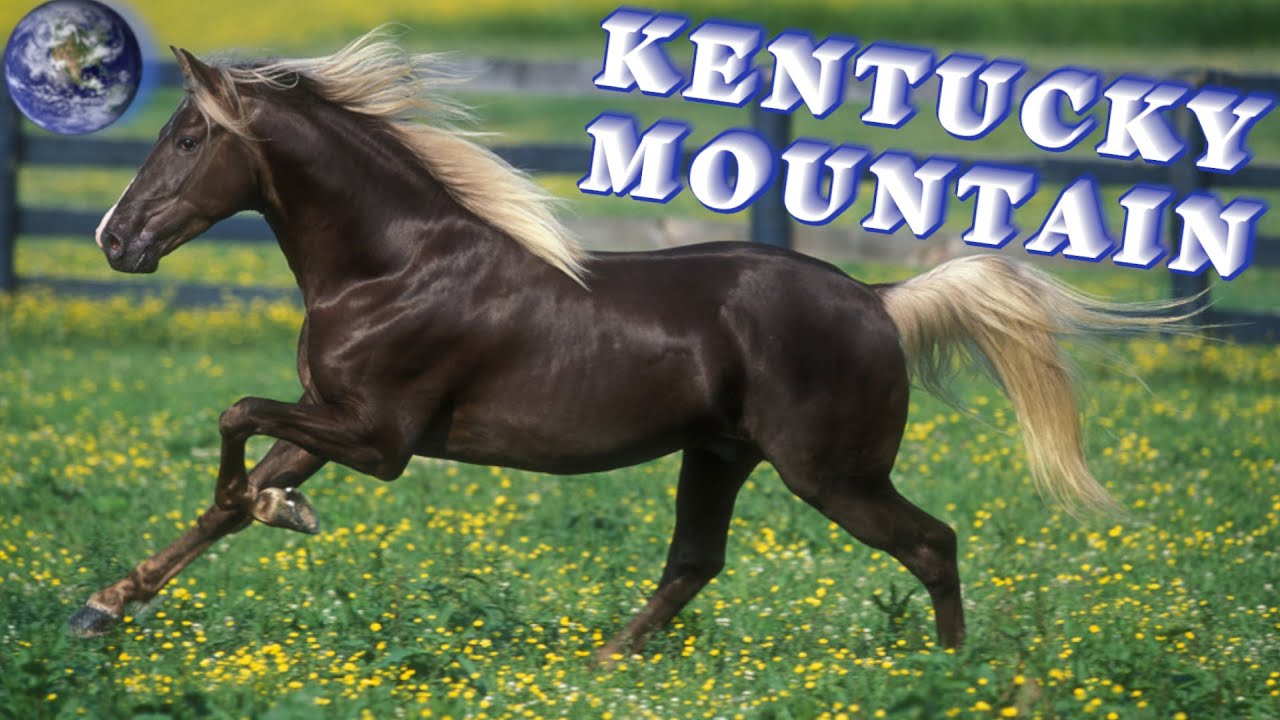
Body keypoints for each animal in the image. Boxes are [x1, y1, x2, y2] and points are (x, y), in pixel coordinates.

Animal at [70, 31, 1182, 660]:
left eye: (186, 140)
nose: (114, 241)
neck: (392, 265)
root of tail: (879, 299)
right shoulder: (332, 420)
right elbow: (225, 498)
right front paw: (103, 608)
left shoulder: (379, 439)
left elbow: (233, 422)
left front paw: (278, 512)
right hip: (720, 455)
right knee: (694, 560)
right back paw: (609, 660)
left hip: (830, 472)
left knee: (930, 542)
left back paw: (949, 672)